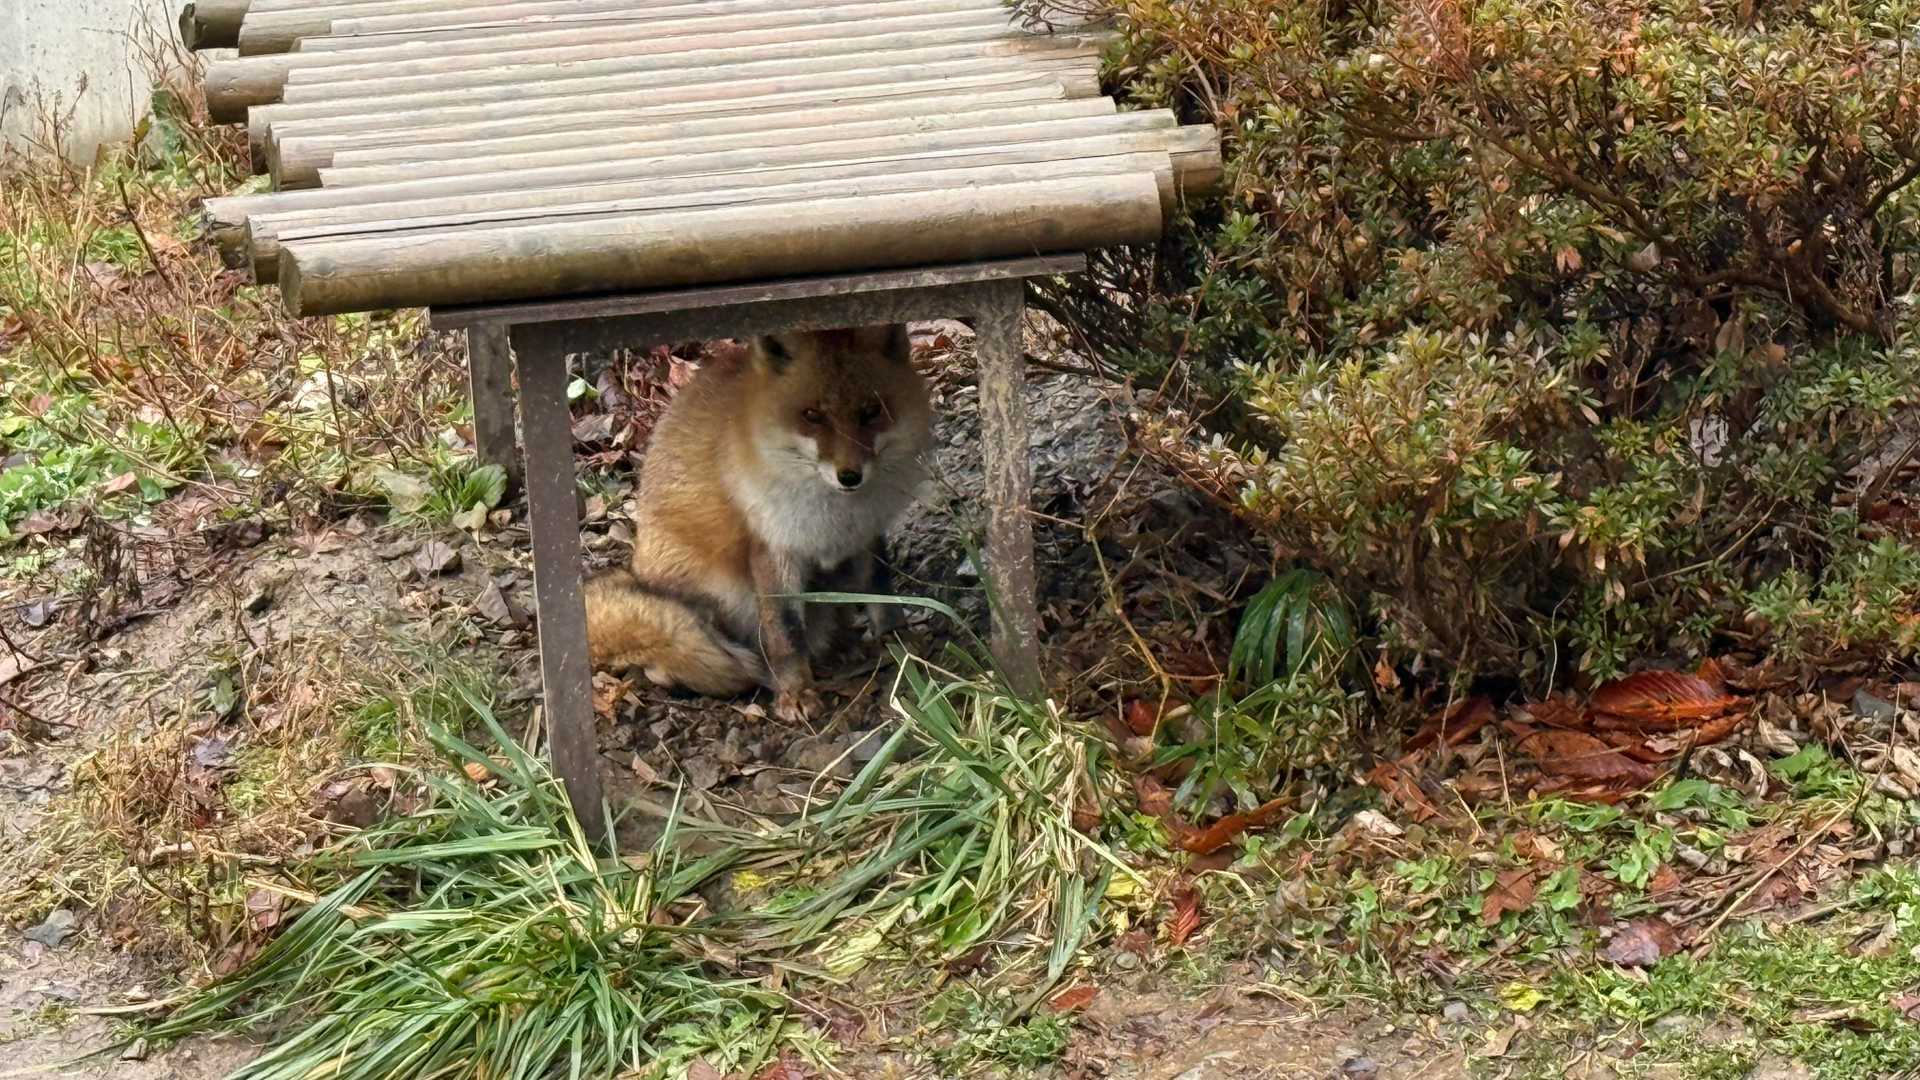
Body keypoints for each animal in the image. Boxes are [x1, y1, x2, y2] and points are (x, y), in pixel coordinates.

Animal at [583, 324, 933, 723]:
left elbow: (881, 591)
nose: (850, 476)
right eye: (812, 415)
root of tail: (635, 569)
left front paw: (899, 642)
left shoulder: (866, 534)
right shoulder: (774, 545)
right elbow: (785, 632)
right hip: (721, 594)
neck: (837, 514)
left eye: (872, 411)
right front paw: (795, 691)